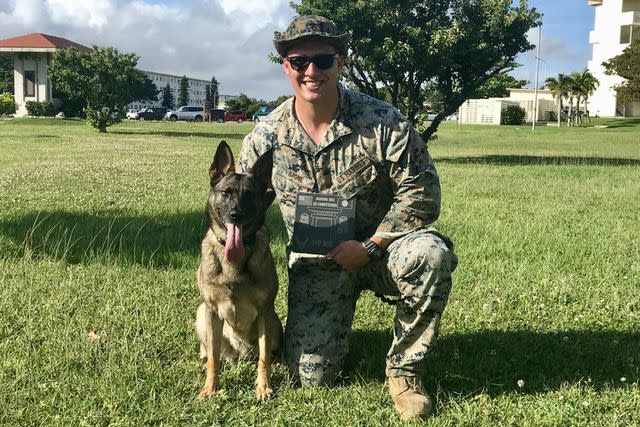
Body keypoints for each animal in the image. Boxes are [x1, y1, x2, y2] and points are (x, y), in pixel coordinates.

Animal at [195, 140, 282, 402]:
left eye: (249, 195)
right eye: (226, 193)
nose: (236, 215)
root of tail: (240, 353)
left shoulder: (265, 311)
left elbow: (264, 358)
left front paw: (263, 387)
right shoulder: (212, 310)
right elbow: (214, 360)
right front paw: (210, 388)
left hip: (275, 322)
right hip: (201, 314)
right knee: (211, 354)